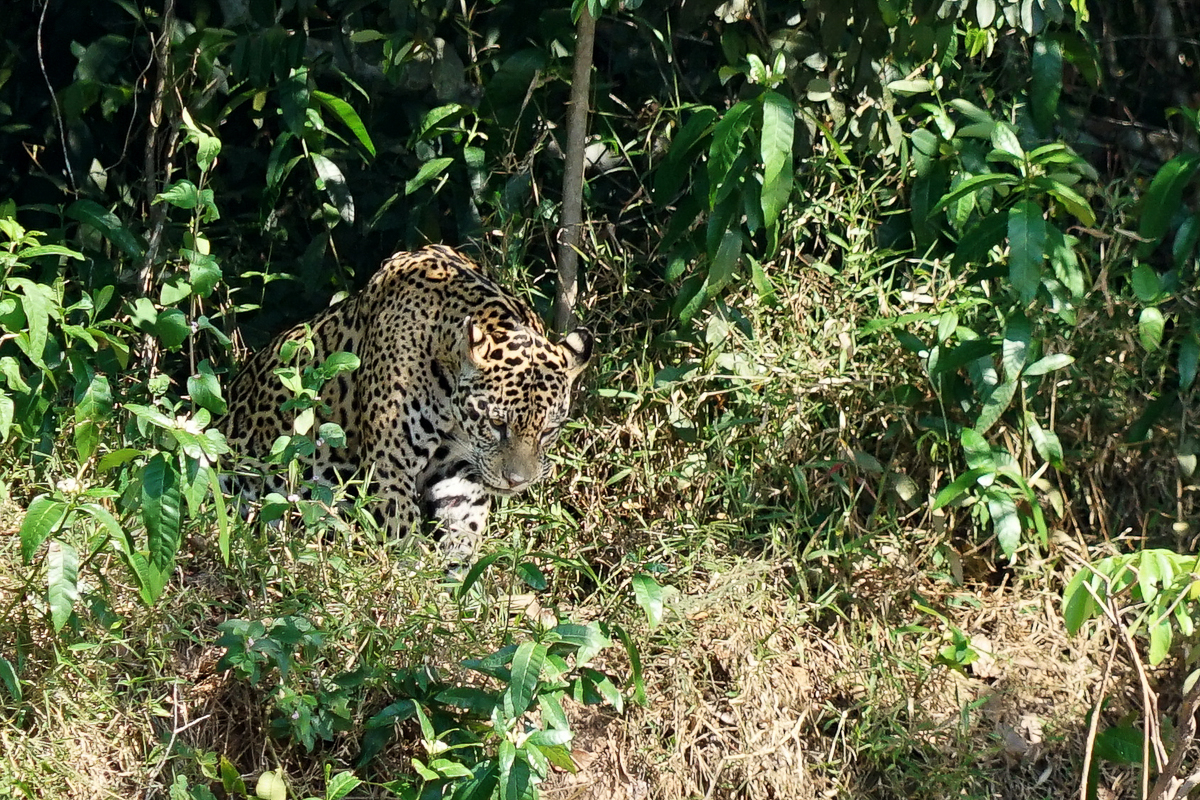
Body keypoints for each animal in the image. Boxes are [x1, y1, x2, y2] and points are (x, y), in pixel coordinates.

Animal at [219, 244, 593, 564]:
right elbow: (403, 534)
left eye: (548, 431)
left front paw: (458, 590)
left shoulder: (460, 475)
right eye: (498, 424)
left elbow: (463, 535)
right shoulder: (389, 464)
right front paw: (413, 580)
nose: (516, 482)